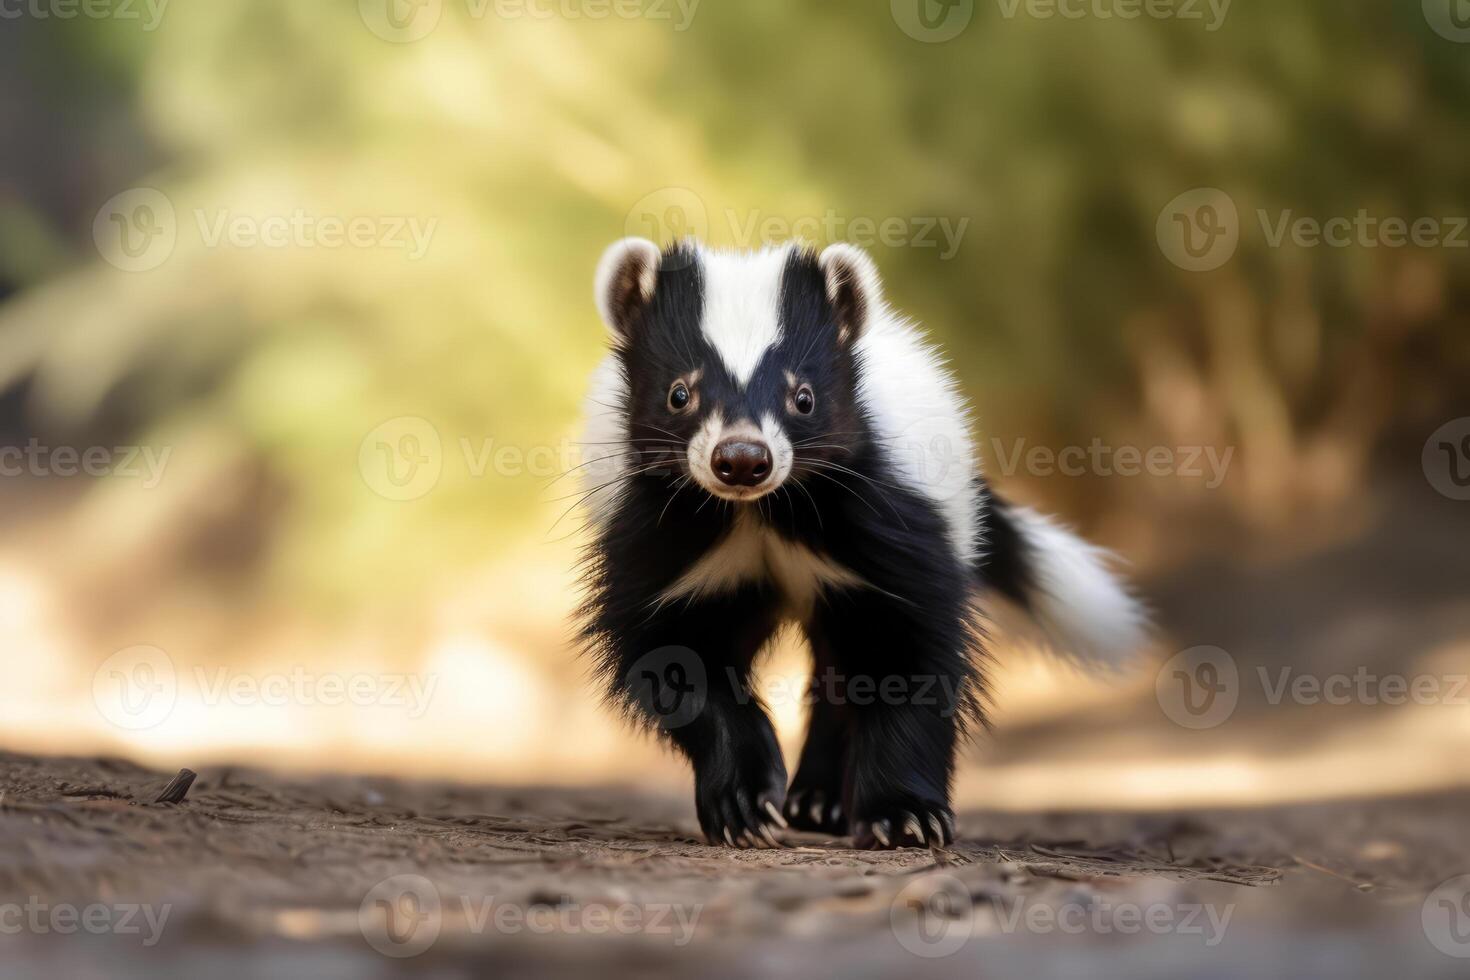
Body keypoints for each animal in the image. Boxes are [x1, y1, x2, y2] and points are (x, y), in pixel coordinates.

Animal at [576, 239, 1146, 852]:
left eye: (802, 397)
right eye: (679, 393)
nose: (743, 458)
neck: (760, 516)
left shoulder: (890, 529)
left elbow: (907, 659)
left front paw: (904, 815)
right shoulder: (666, 550)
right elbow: (675, 661)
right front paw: (743, 803)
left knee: (843, 667)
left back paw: (819, 800)